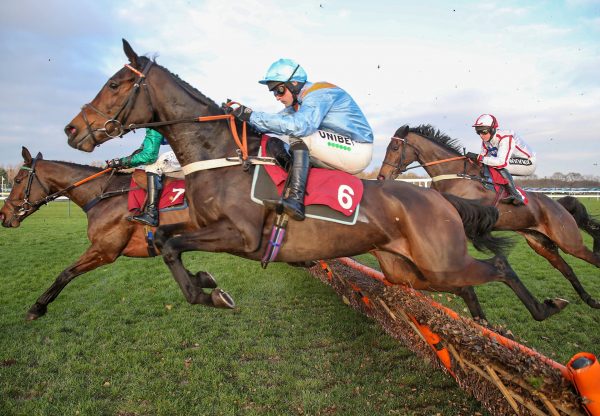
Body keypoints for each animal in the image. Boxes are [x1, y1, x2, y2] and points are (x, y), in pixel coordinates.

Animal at [0, 148, 232, 320]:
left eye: (18, 180)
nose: (3, 215)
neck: (102, 195)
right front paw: (202, 279)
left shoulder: (104, 251)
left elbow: (65, 273)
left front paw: (37, 307)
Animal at [378, 125, 600, 308]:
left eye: (395, 148)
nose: (381, 176)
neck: (456, 175)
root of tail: (557, 204)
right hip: (543, 245)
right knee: (567, 268)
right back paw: (590, 300)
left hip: (569, 240)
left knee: (590, 259)